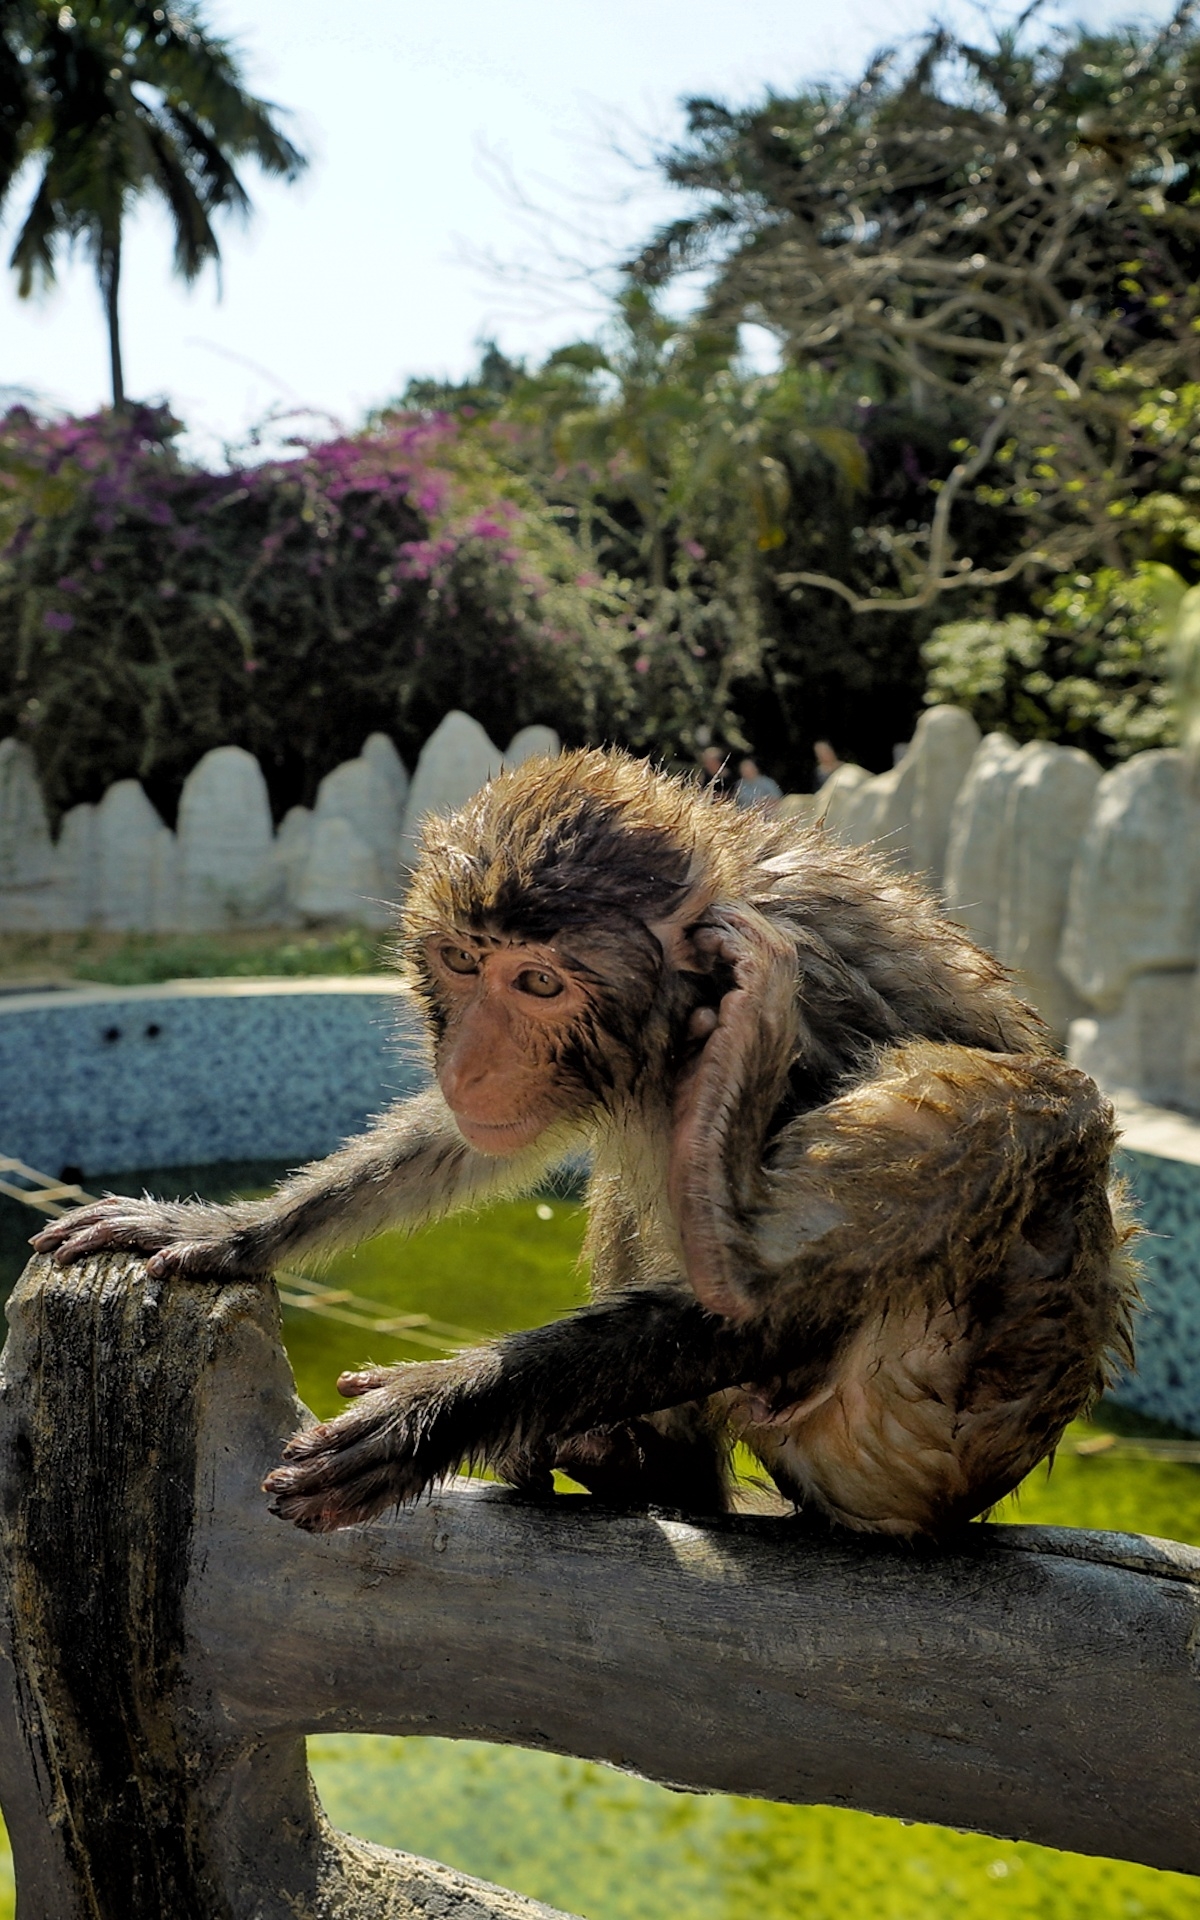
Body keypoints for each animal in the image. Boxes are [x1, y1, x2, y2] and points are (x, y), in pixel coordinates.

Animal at [32, 741, 1136, 1536]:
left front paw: (435, 1409)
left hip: (922, 1438)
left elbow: (784, 1321)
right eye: (463, 962)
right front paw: (228, 1230)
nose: (472, 1062)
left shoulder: (810, 999)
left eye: (539, 982)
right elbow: (477, 1141)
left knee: (1029, 1106)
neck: (685, 998)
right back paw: (644, 1455)